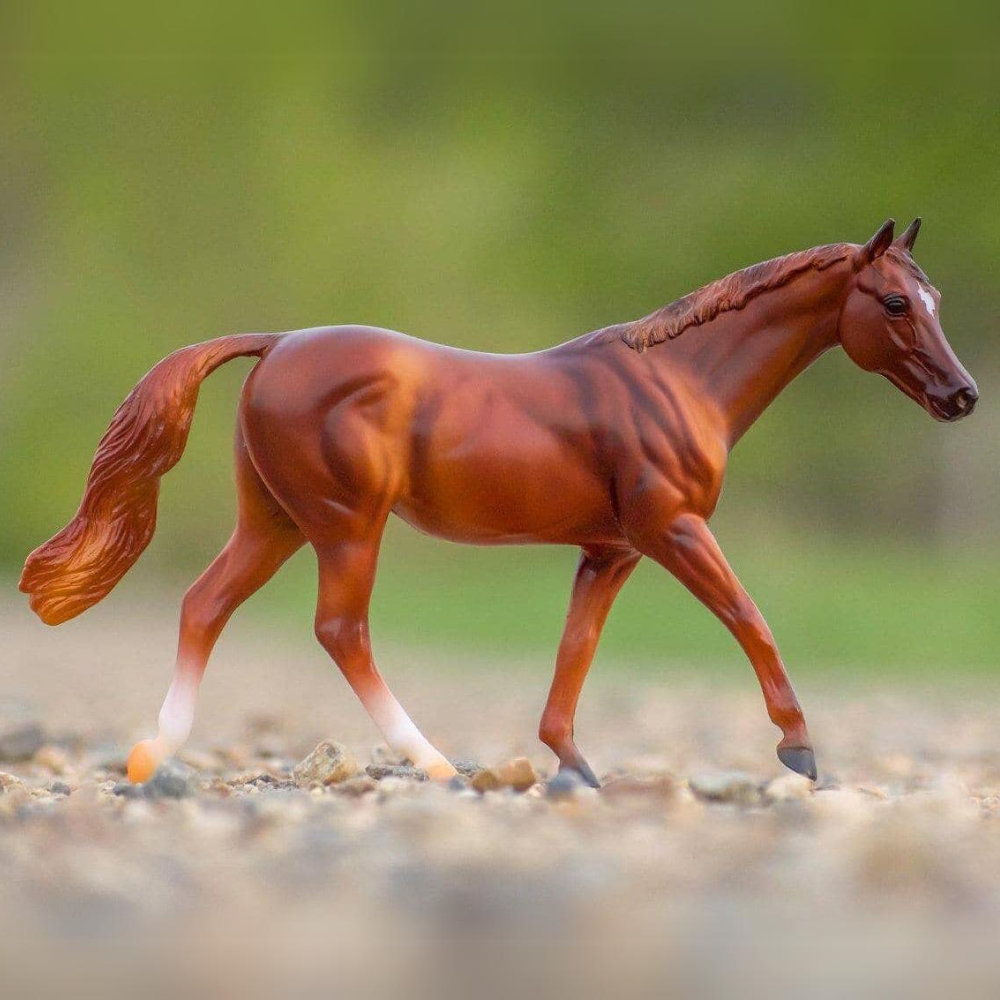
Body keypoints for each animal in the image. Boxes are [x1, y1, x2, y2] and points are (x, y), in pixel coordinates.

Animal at [21, 217, 976, 780]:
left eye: (935, 297)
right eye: (896, 301)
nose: (962, 396)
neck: (680, 381)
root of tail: (279, 342)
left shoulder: (611, 549)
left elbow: (576, 648)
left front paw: (572, 765)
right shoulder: (673, 529)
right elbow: (749, 617)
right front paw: (799, 750)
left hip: (276, 522)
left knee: (204, 605)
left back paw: (153, 756)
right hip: (345, 526)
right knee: (341, 630)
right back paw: (435, 764)